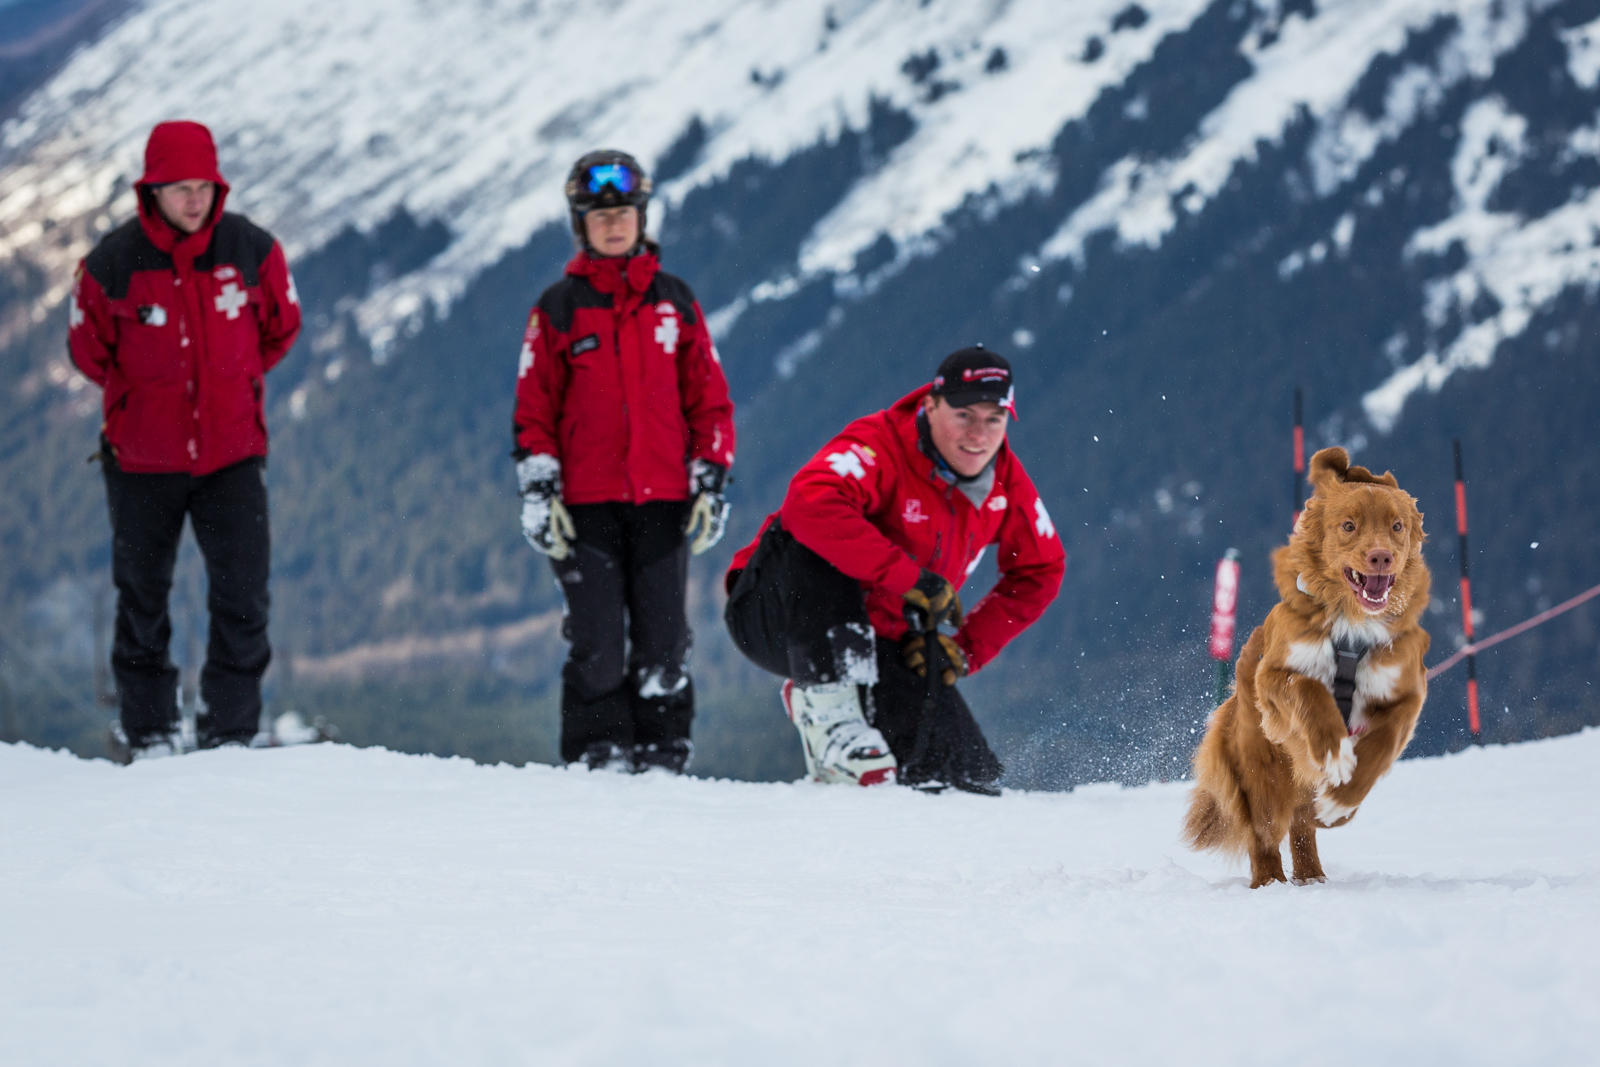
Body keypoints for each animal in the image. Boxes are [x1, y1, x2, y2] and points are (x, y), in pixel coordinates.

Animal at [1184, 444, 1433, 883]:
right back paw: (1270, 883)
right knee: (1264, 834)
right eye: (1348, 526)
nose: (1381, 557)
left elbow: (1384, 742)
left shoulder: (1407, 691)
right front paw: (1334, 752)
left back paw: (1313, 871)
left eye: (1397, 526)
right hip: (1262, 770)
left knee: (1302, 823)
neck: (1352, 628)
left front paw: (1341, 801)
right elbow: (1309, 687)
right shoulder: (1272, 678)